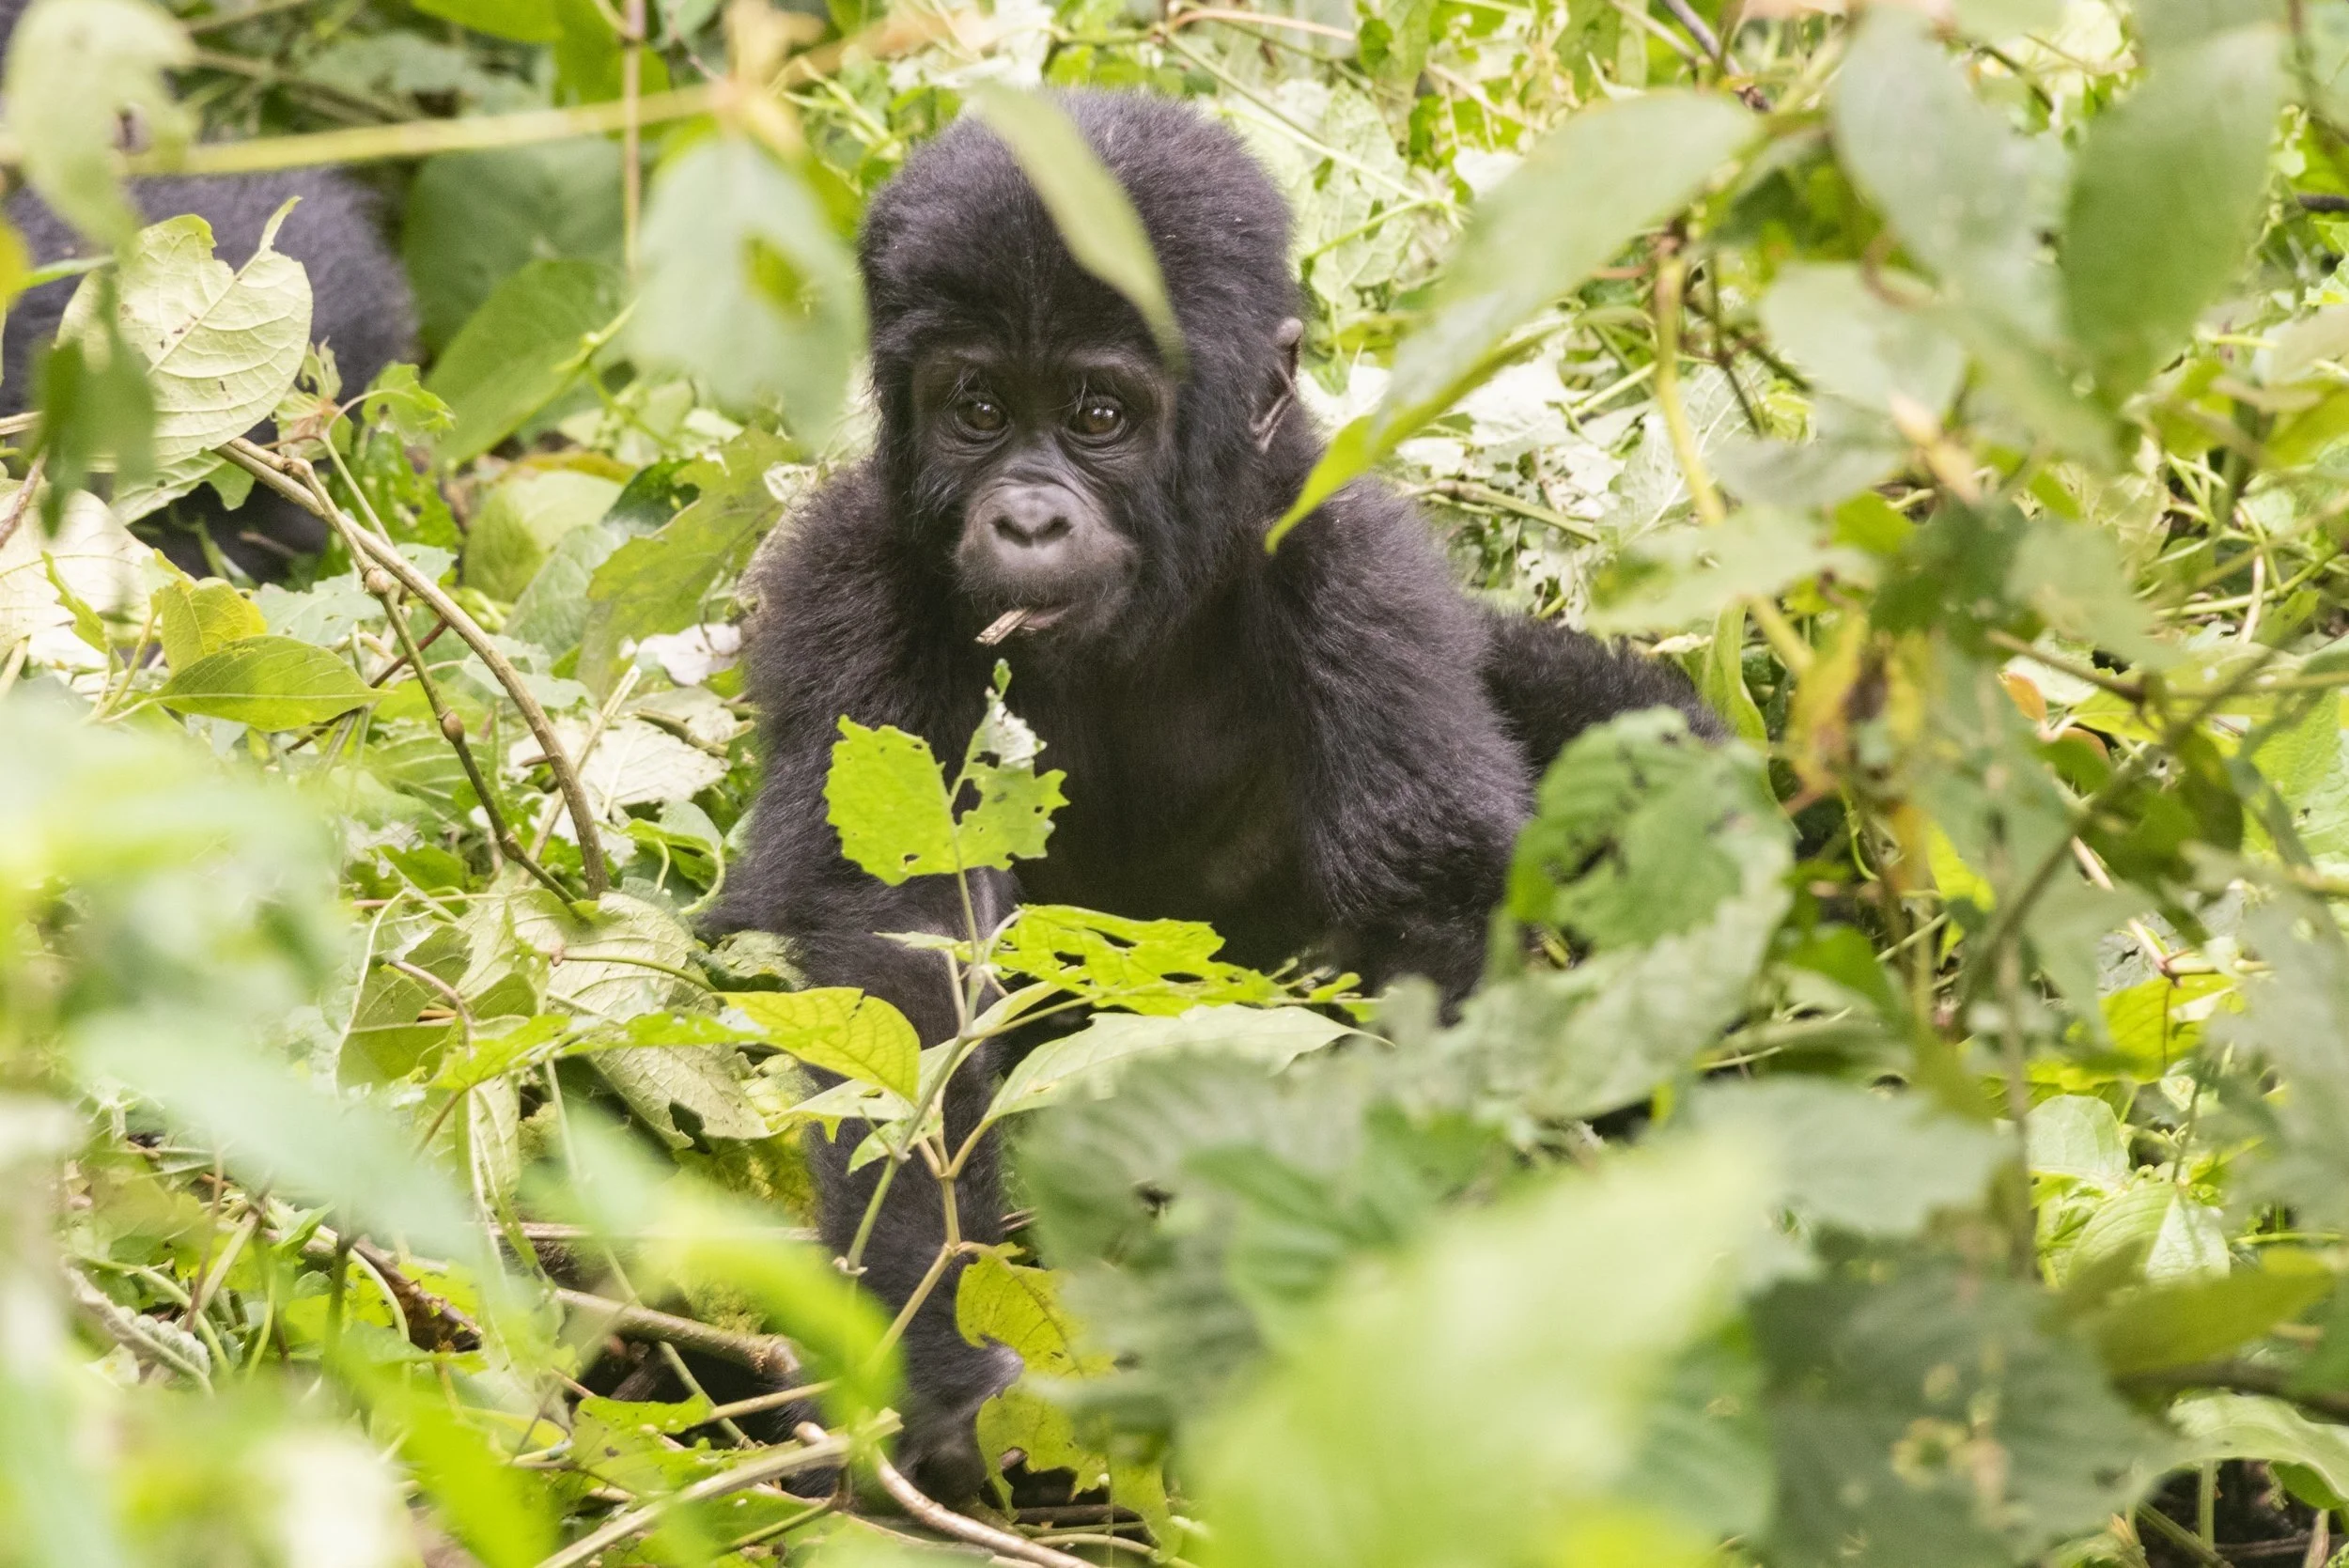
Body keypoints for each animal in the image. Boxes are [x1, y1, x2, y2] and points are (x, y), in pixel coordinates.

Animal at [720, 90, 1723, 1499]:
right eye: (977, 406)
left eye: (1098, 415)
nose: (1026, 522)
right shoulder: (846, 573)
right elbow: (899, 950)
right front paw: (933, 1353)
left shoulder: (1353, 561)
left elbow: (1427, 909)